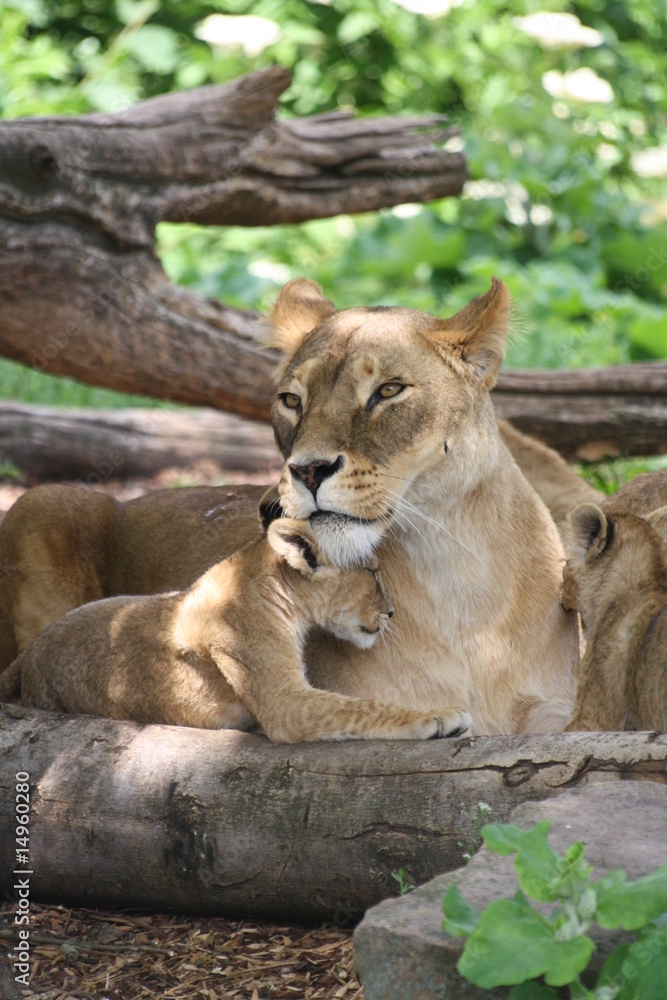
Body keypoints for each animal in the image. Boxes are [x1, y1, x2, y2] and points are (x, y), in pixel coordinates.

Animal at [2, 517, 470, 743]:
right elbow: (361, 707)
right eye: (372, 572)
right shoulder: (284, 703)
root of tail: (29, 654)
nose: (391, 612)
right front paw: (441, 716)